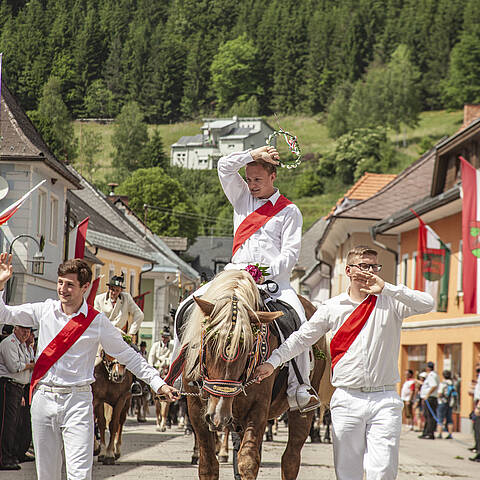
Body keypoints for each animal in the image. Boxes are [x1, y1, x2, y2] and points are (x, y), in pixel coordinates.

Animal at [180, 270, 334, 480]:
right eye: (210, 342)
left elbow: (248, 462)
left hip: (300, 411)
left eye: (247, 349)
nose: (219, 416)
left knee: (291, 458)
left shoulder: (257, 408)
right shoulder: (197, 410)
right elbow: (208, 465)